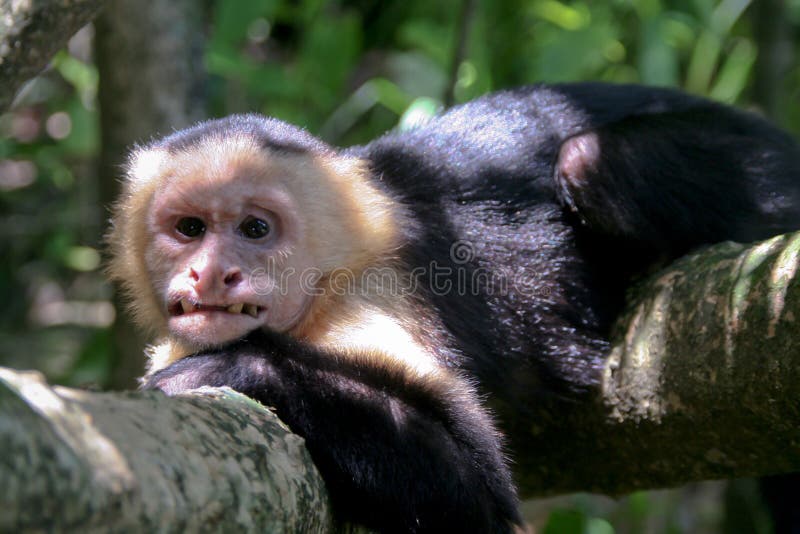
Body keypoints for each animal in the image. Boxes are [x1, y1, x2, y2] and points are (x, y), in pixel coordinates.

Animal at [109, 81, 800, 532]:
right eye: (190, 229)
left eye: (256, 230)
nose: (211, 272)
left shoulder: (371, 295)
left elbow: (479, 498)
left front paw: (229, 368)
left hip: (761, 169)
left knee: (590, 163)